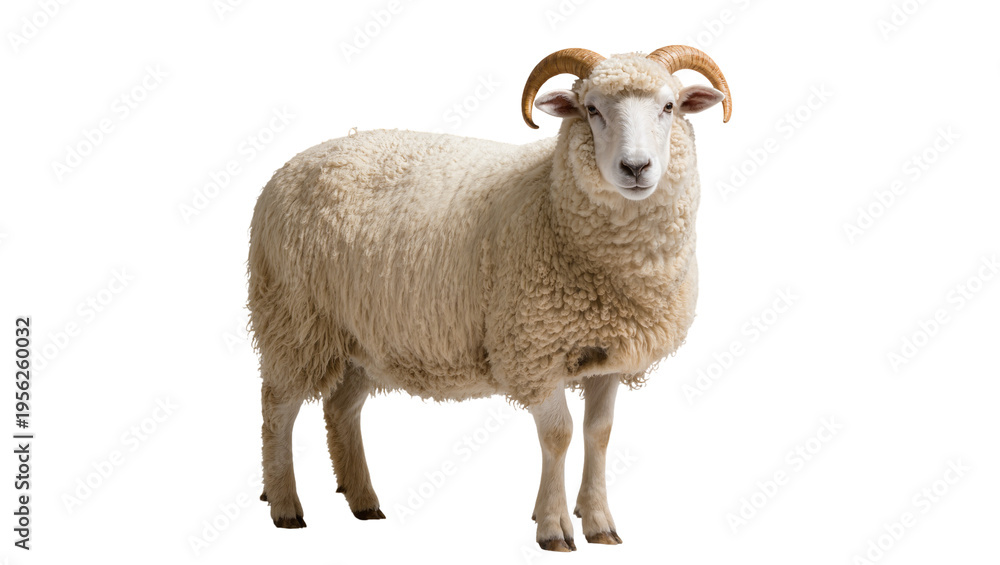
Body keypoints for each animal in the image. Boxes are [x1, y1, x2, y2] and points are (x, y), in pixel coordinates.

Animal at [248, 44, 731, 551]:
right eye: (591, 109)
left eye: (669, 107)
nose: (636, 168)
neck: (550, 201)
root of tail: (286, 169)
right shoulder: (533, 350)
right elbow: (558, 435)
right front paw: (553, 526)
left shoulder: (608, 356)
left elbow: (598, 434)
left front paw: (599, 521)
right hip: (292, 318)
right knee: (277, 409)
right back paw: (284, 506)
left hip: (363, 336)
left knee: (341, 409)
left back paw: (363, 500)